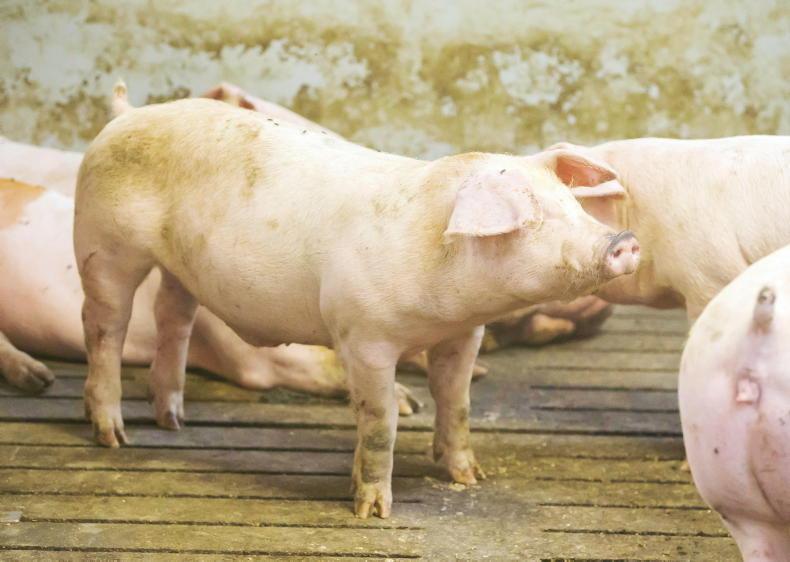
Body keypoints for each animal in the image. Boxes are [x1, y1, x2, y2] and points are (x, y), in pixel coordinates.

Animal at [73, 95, 639, 518]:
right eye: (532, 215)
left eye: (572, 204)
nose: (624, 240)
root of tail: (124, 115)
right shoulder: (365, 336)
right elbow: (381, 418)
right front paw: (373, 510)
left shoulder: (464, 334)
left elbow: (456, 402)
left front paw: (470, 477)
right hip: (104, 246)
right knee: (105, 327)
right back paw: (114, 438)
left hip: (179, 269)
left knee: (174, 316)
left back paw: (173, 420)